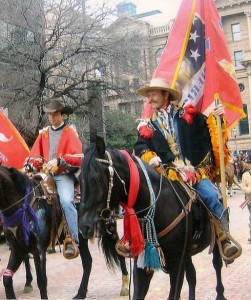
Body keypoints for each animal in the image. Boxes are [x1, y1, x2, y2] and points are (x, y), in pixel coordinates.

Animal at [0, 165, 128, 298]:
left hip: (109, 229)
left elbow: (42, 281)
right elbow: (7, 279)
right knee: (88, 262)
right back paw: (80, 293)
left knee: (119, 253)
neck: (24, 205)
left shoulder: (38, 249)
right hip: (82, 239)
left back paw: (124, 286)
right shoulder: (18, 248)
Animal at [79, 137, 229, 300]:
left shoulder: (177, 263)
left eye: (96, 179)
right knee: (192, 276)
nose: (84, 226)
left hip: (214, 242)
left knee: (217, 264)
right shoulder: (144, 263)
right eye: (80, 180)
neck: (159, 206)